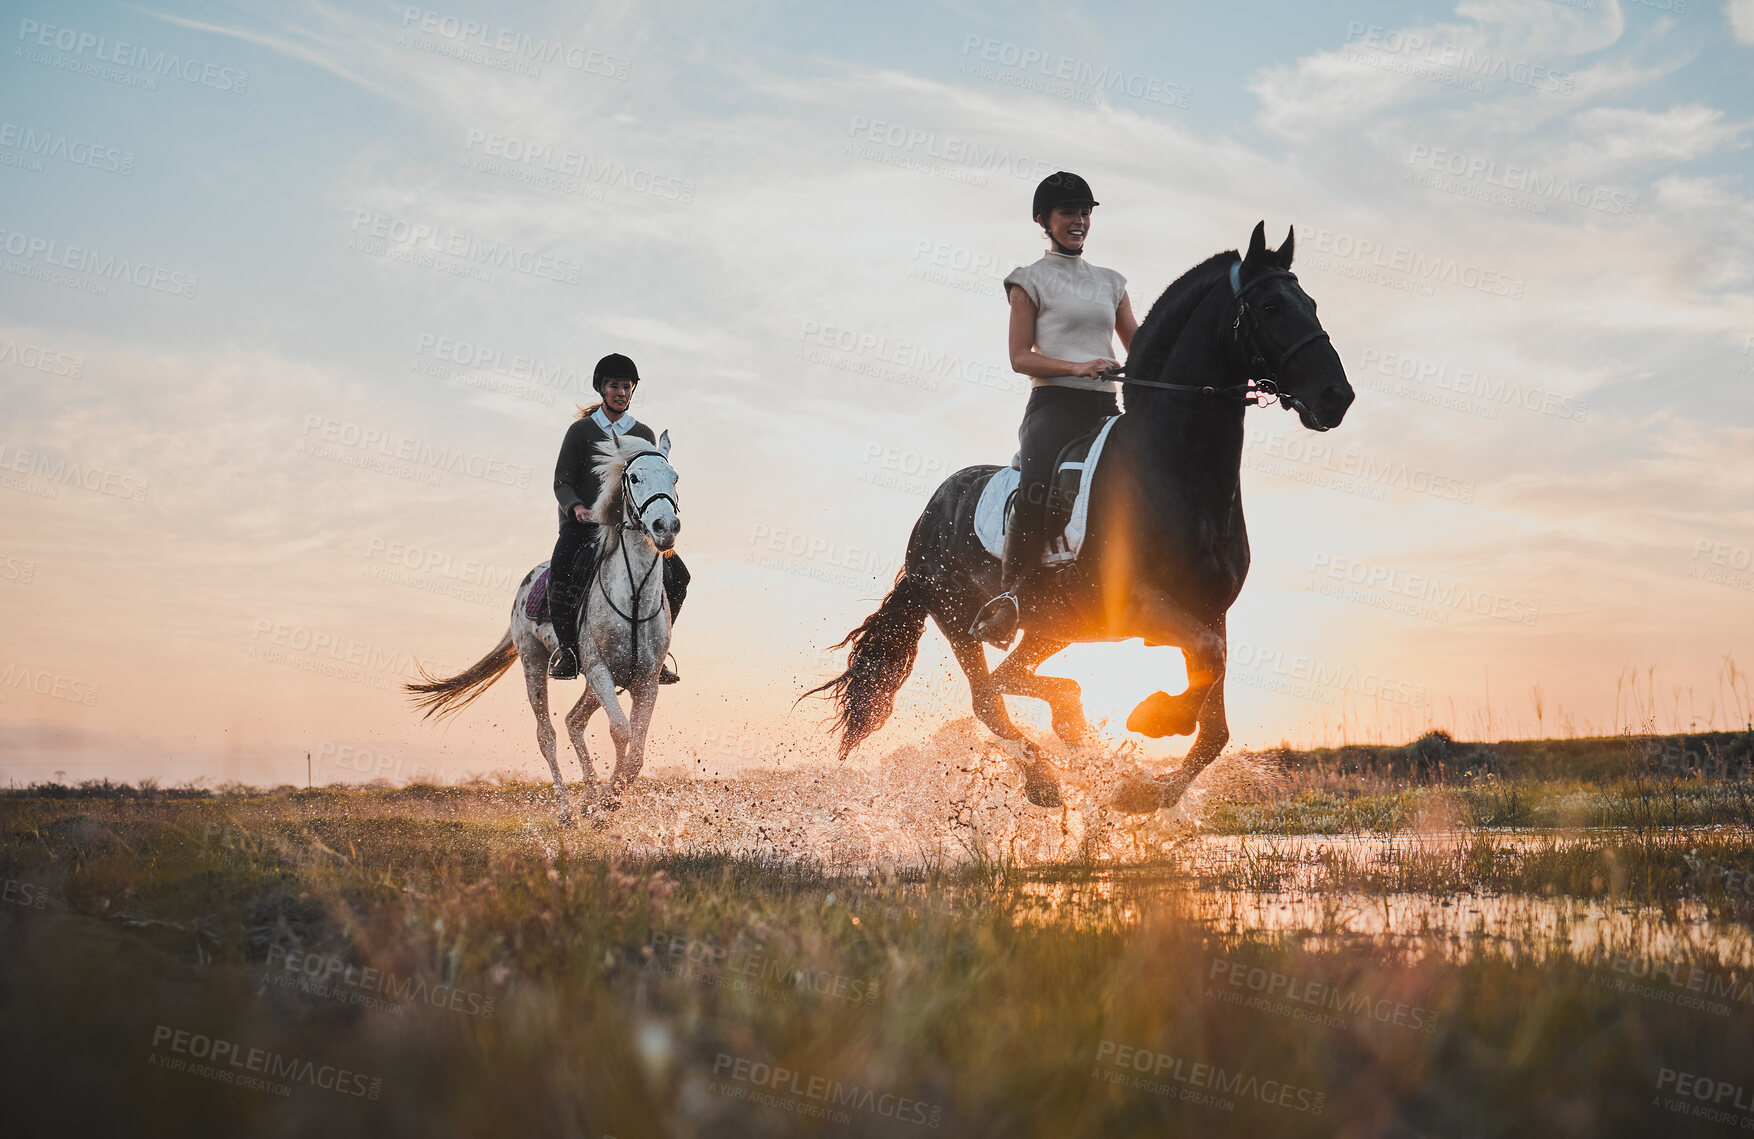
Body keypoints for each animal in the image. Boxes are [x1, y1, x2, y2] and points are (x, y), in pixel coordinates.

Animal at [406, 431, 680, 821]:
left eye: (674, 478)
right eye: (634, 477)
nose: (665, 527)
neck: (634, 594)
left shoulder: (646, 679)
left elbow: (637, 753)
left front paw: (607, 800)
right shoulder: (598, 669)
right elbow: (621, 731)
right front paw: (607, 802)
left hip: (602, 681)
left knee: (573, 721)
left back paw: (589, 797)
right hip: (536, 663)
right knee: (546, 733)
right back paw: (567, 809)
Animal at [806, 222, 1354, 807]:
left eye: (1311, 304)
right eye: (1271, 306)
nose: (1336, 396)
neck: (1176, 469)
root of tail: (927, 519)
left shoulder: (1210, 612)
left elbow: (1215, 716)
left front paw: (1145, 789)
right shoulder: (1139, 605)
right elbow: (1206, 670)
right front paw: (1156, 721)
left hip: (1054, 625)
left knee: (1009, 679)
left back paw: (1073, 735)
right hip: (961, 619)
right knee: (990, 694)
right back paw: (1048, 776)